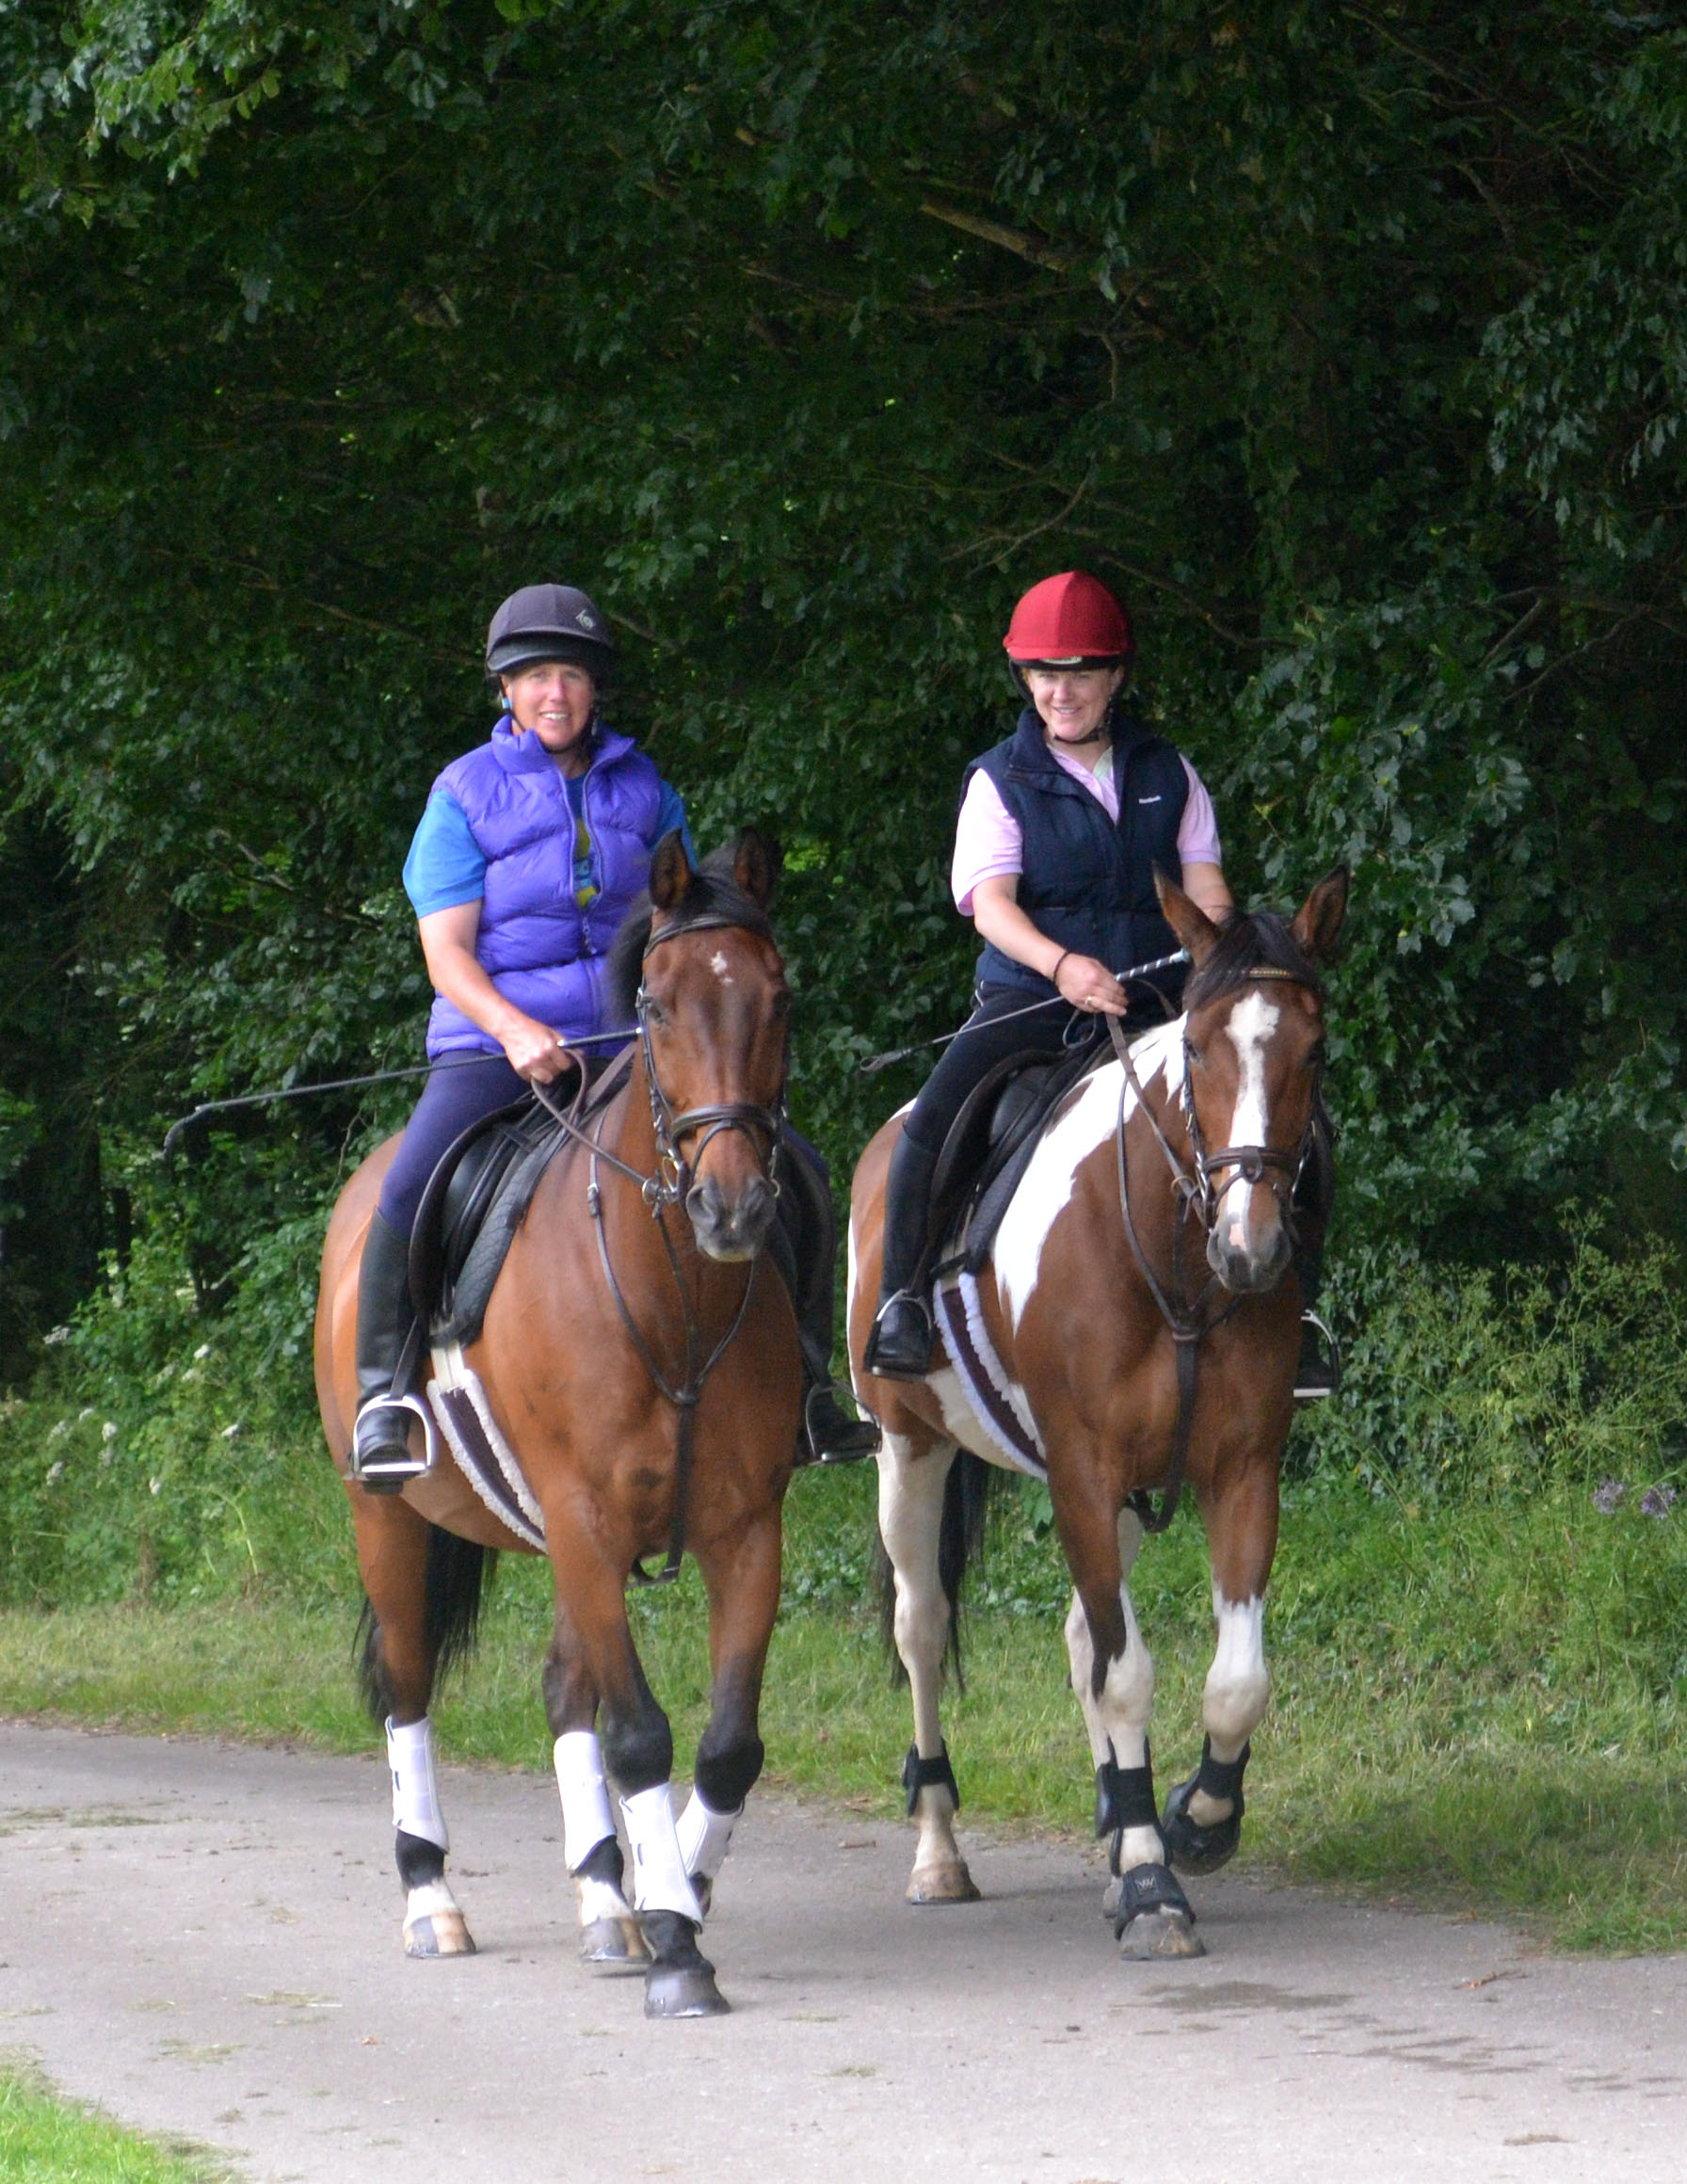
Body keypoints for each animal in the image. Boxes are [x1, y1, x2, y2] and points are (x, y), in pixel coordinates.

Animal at [314, 830, 801, 2018]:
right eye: (659, 1006)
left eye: (776, 998)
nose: (732, 1206)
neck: (672, 1301)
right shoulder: (584, 1520)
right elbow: (638, 1733)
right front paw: (678, 1948)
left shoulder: (745, 1530)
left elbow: (724, 1744)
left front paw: (675, 1890)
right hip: (388, 1516)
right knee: (406, 1681)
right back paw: (432, 1897)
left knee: (561, 1685)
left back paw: (604, 1898)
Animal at [846, 867, 1347, 1959]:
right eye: (1196, 1047)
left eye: (1313, 1049)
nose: (1250, 1248)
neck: (1170, 1254)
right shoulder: (1081, 1470)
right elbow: (1125, 1676)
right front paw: (1156, 1885)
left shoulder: (1241, 1471)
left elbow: (1233, 1681)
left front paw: (1193, 1820)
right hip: (910, 1449)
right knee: (923, 1626)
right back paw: (940, 1854)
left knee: (1083, 1633)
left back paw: (1124, 1829)